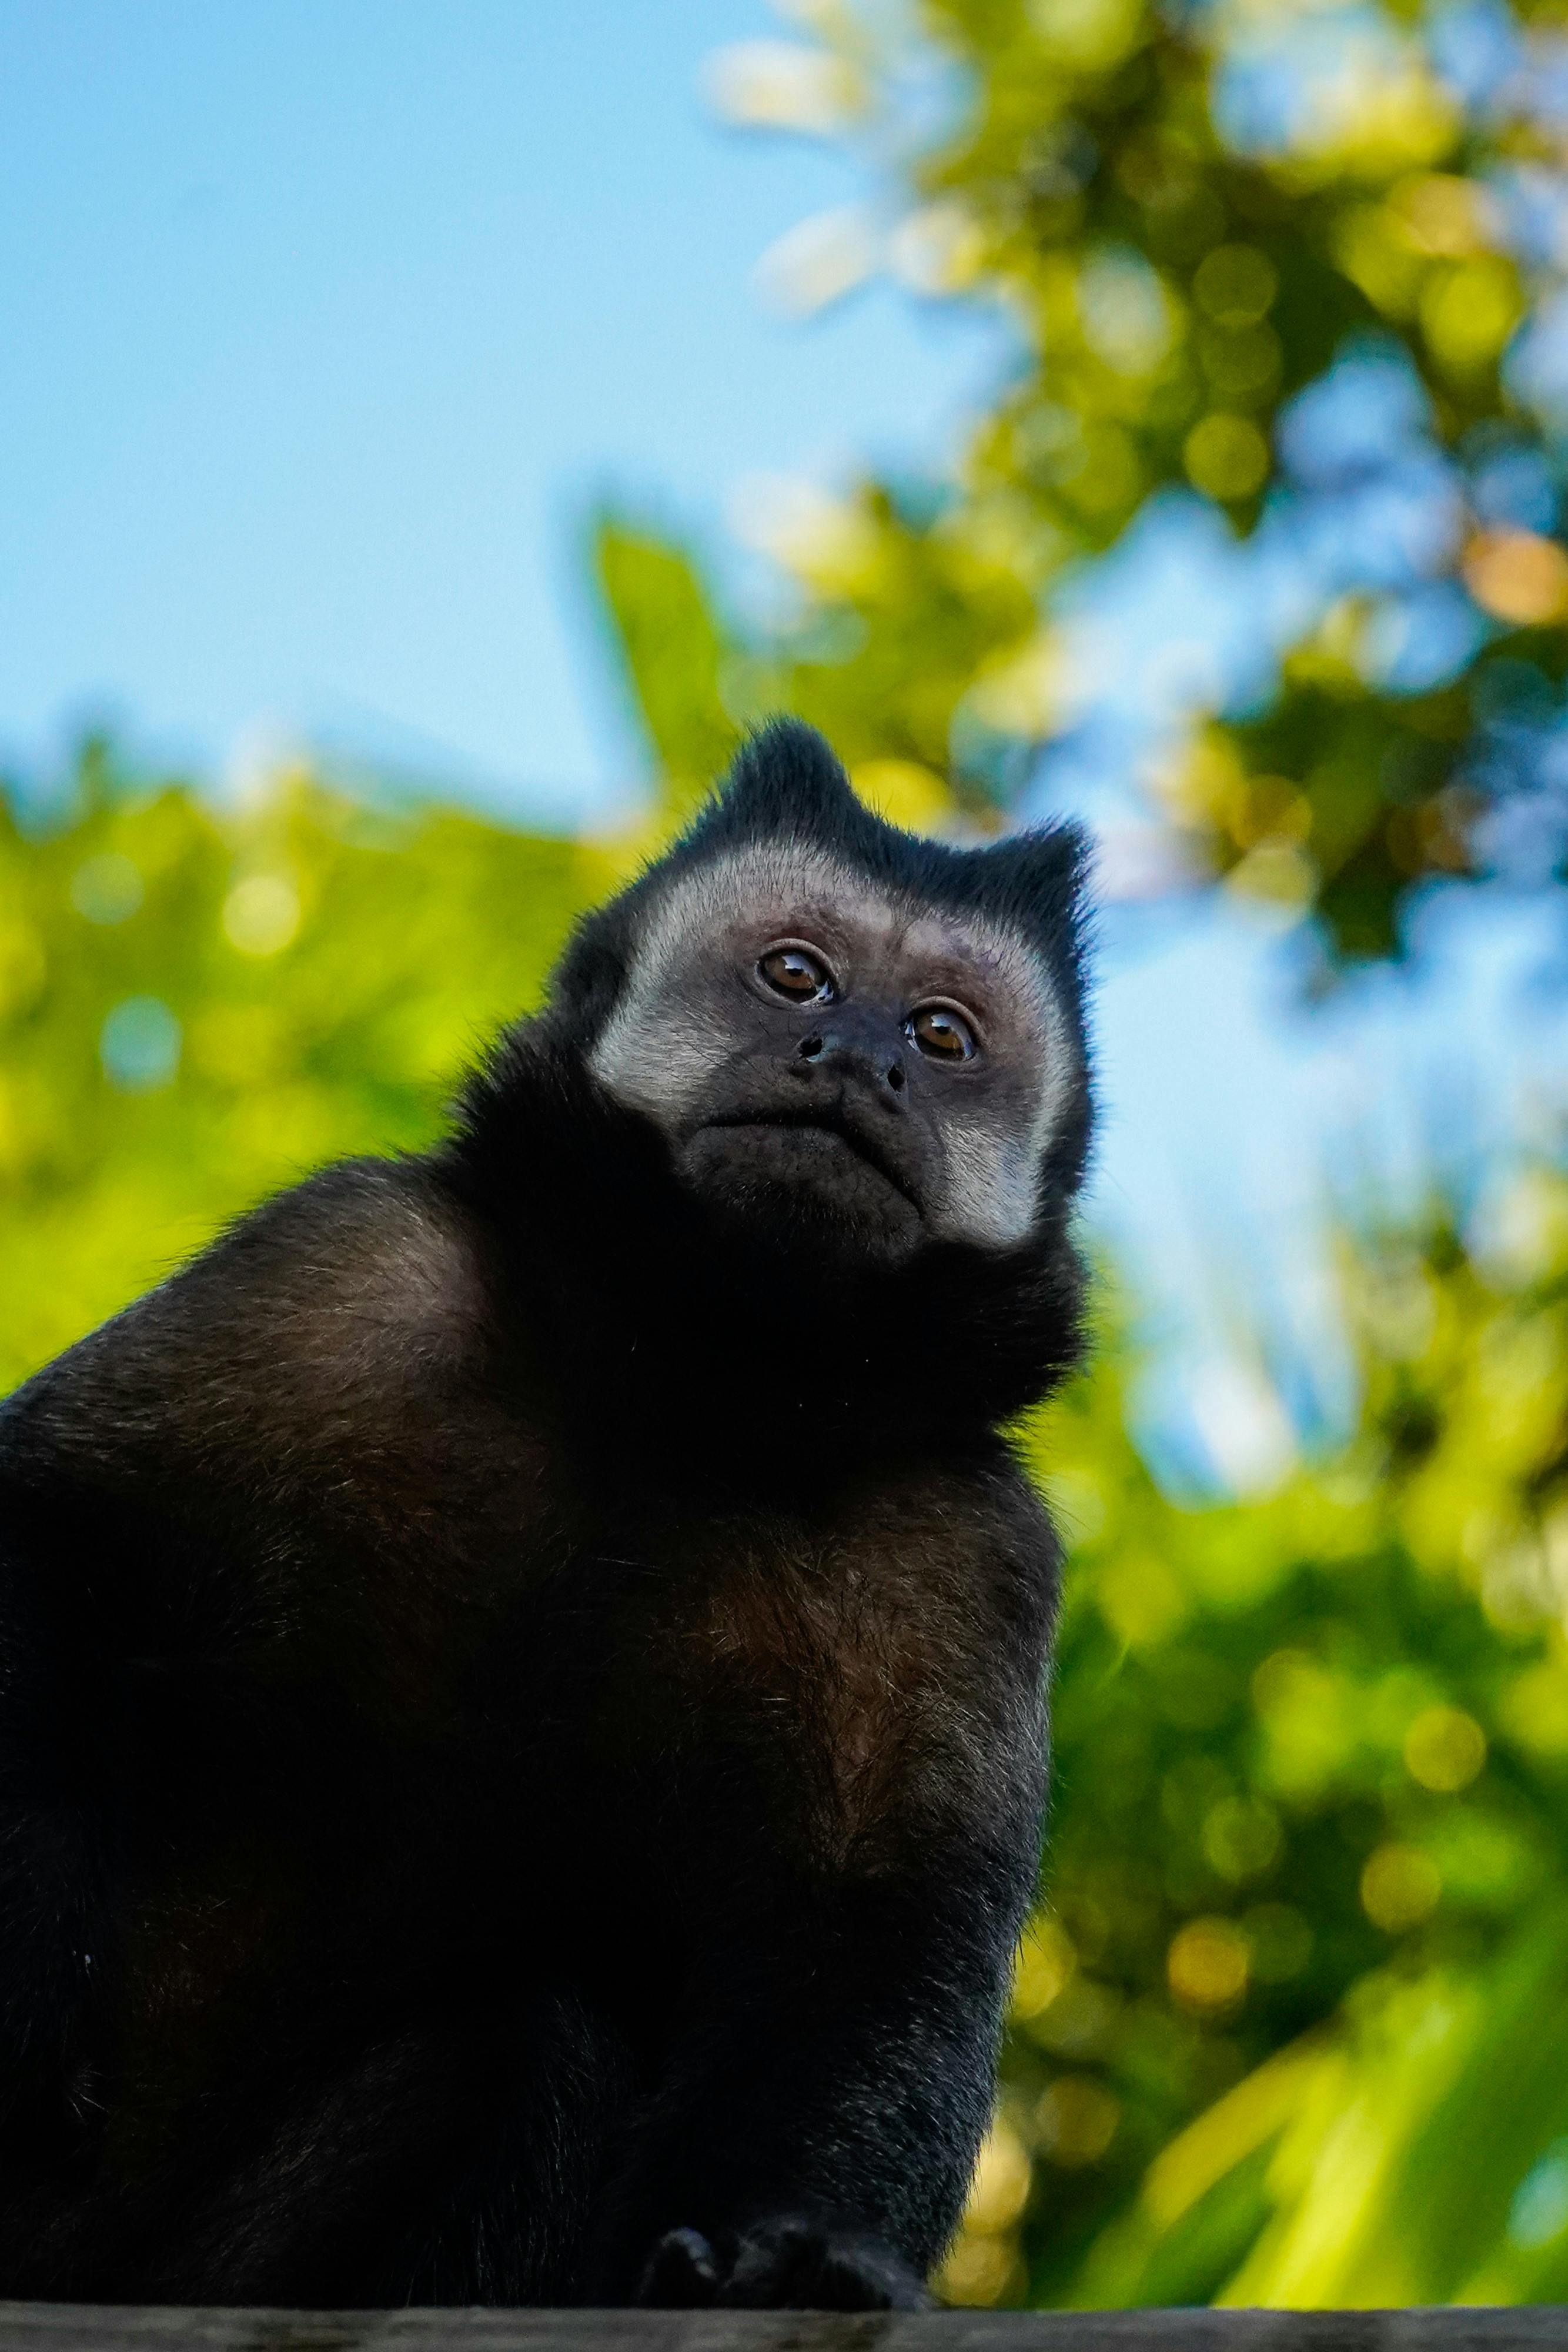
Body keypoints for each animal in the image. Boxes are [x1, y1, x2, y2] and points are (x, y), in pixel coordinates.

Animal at [0, 720, 1091, 2314]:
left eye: (945, 1035)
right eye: (797, 976)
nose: (862, 1057)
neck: (678, 1385)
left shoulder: (972, 1546)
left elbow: (877, 1945)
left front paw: (783, 2258)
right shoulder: (343, 1261)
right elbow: (57, 1534)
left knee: (523, 2041)